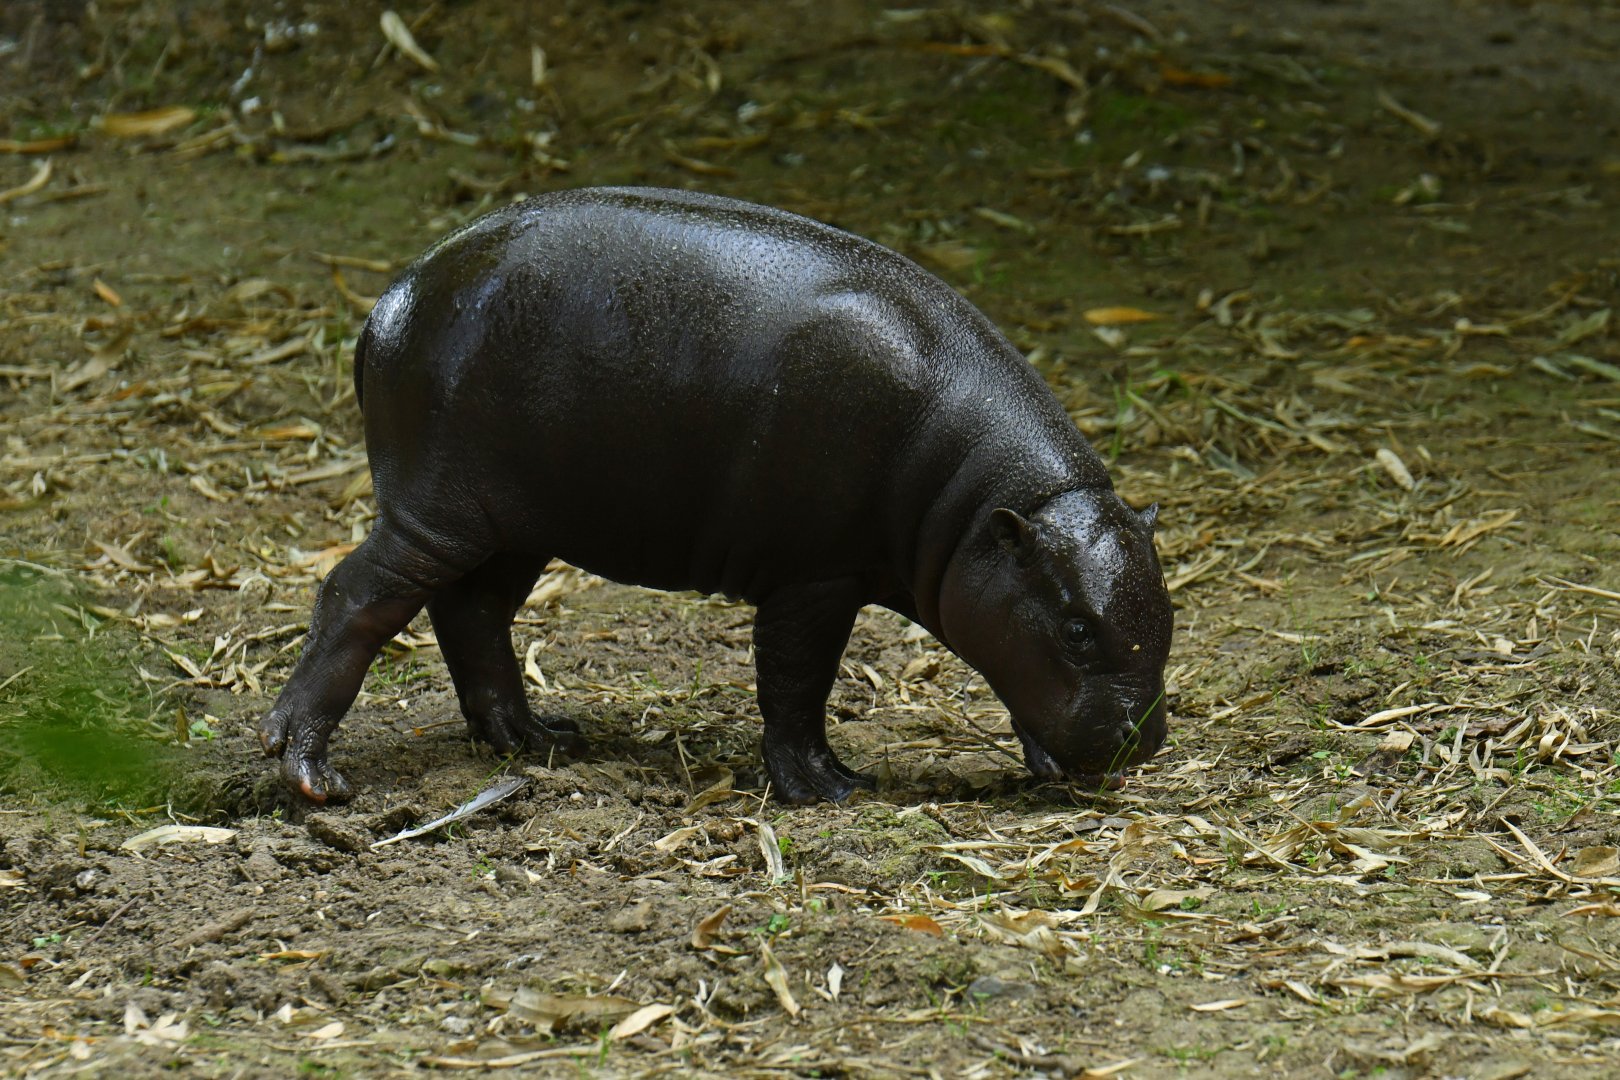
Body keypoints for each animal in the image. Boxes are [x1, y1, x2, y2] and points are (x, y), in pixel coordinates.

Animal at [260, 187, 1173, 805]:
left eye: (1168, 615)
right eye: (1079, 630)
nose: (1145, 742)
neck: (992, 506)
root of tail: (390, 301)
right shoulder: (814, 579)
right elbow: (797, 684)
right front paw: (830, 788)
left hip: (516, 522)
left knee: (472, 612)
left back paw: (538, 739)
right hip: (438, 512)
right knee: (356, 595)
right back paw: (311, 773)